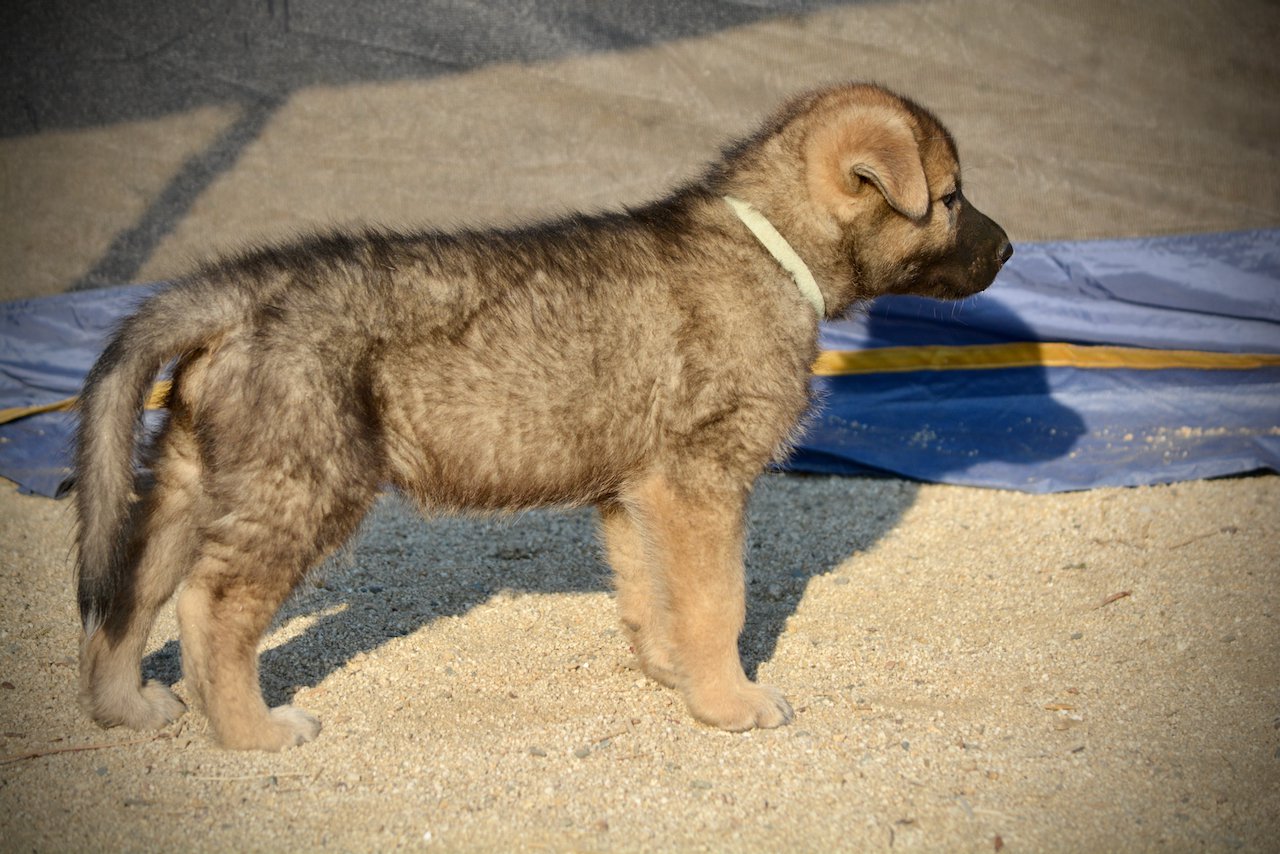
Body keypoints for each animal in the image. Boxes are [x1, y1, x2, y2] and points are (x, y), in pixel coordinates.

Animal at [74, 83, 1008, 752]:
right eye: (951, 199)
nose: (1008, 251)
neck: (769, 247)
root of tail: (235, 290)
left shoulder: (639, 494)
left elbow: (653, 593)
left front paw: (673, 676)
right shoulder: (700, 483)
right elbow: (720, 601)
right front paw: (730, 703)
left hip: (196, 473)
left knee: (130, 587)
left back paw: (126, 709)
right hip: (302, 481)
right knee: (211, 604)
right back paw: (252, 732)